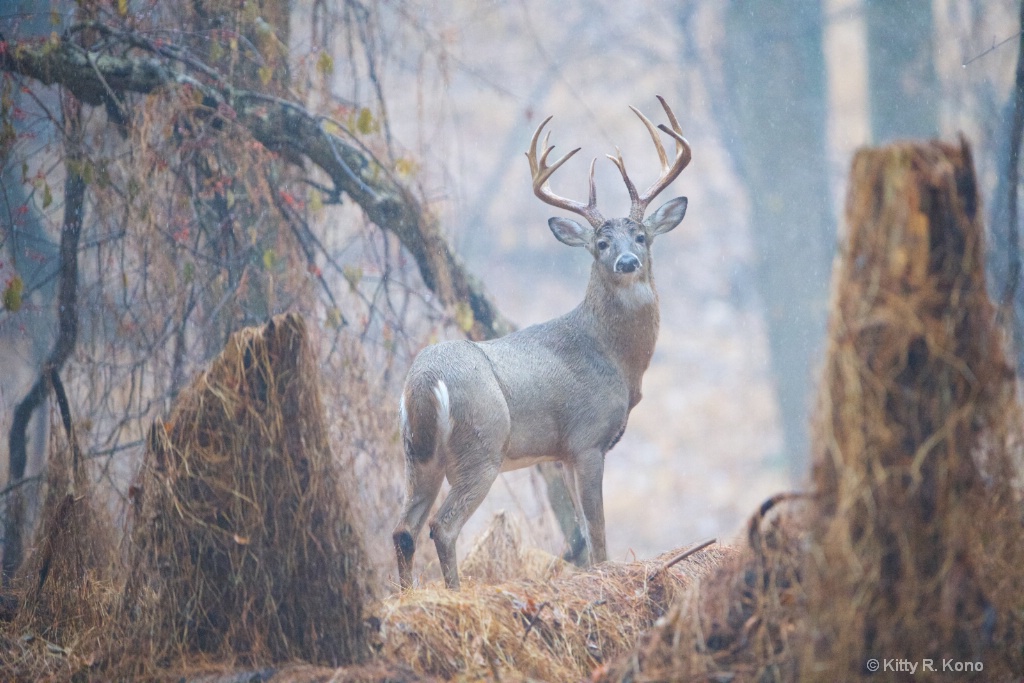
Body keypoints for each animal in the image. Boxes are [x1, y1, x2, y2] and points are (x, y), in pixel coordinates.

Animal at [391, 97, 688, 593]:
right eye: (601, 243)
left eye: (641, 236)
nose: (628, 261)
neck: (616, 359)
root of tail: (425, 381)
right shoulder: (588, 438)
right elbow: (598, 530)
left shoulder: (562, 453)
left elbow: (583, 532)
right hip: (482, 445)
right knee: (442, 526)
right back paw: (455, 593)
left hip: (418, 455)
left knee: (403, 529)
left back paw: (407, 595)